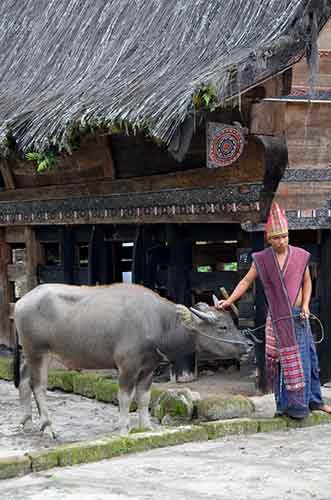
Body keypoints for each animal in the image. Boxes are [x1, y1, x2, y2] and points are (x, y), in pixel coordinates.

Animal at [13, 284, 252, 436]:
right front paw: (123, 428)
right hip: (38, 352)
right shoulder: (127, 367)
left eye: (232, 321)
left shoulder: (148, 368)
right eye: (223, 326)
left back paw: (27, 421)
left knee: (23, 381)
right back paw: (48, 426)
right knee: (38, 386)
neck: (158, 322)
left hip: (29, 354)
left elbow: (144, 398)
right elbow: (125, 398)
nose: (248, 345)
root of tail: (20, 302)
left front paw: (146, 427)